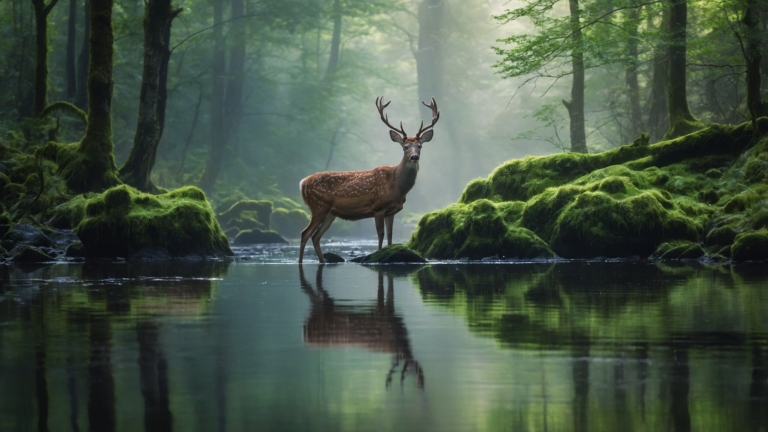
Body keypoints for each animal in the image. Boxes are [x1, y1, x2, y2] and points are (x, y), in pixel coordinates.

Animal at [298, 96, 440, 263]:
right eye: (405, 147)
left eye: (420, 146)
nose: (414, 157)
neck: (396, 187)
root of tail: (302, 183)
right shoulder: (378, 207)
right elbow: (380, 234)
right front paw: (378, 255)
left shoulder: (392, 211)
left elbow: (390, 236)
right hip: (318, 206)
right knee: (305, 234)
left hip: (330, 213)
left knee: (315, 237)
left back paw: (323, 261)